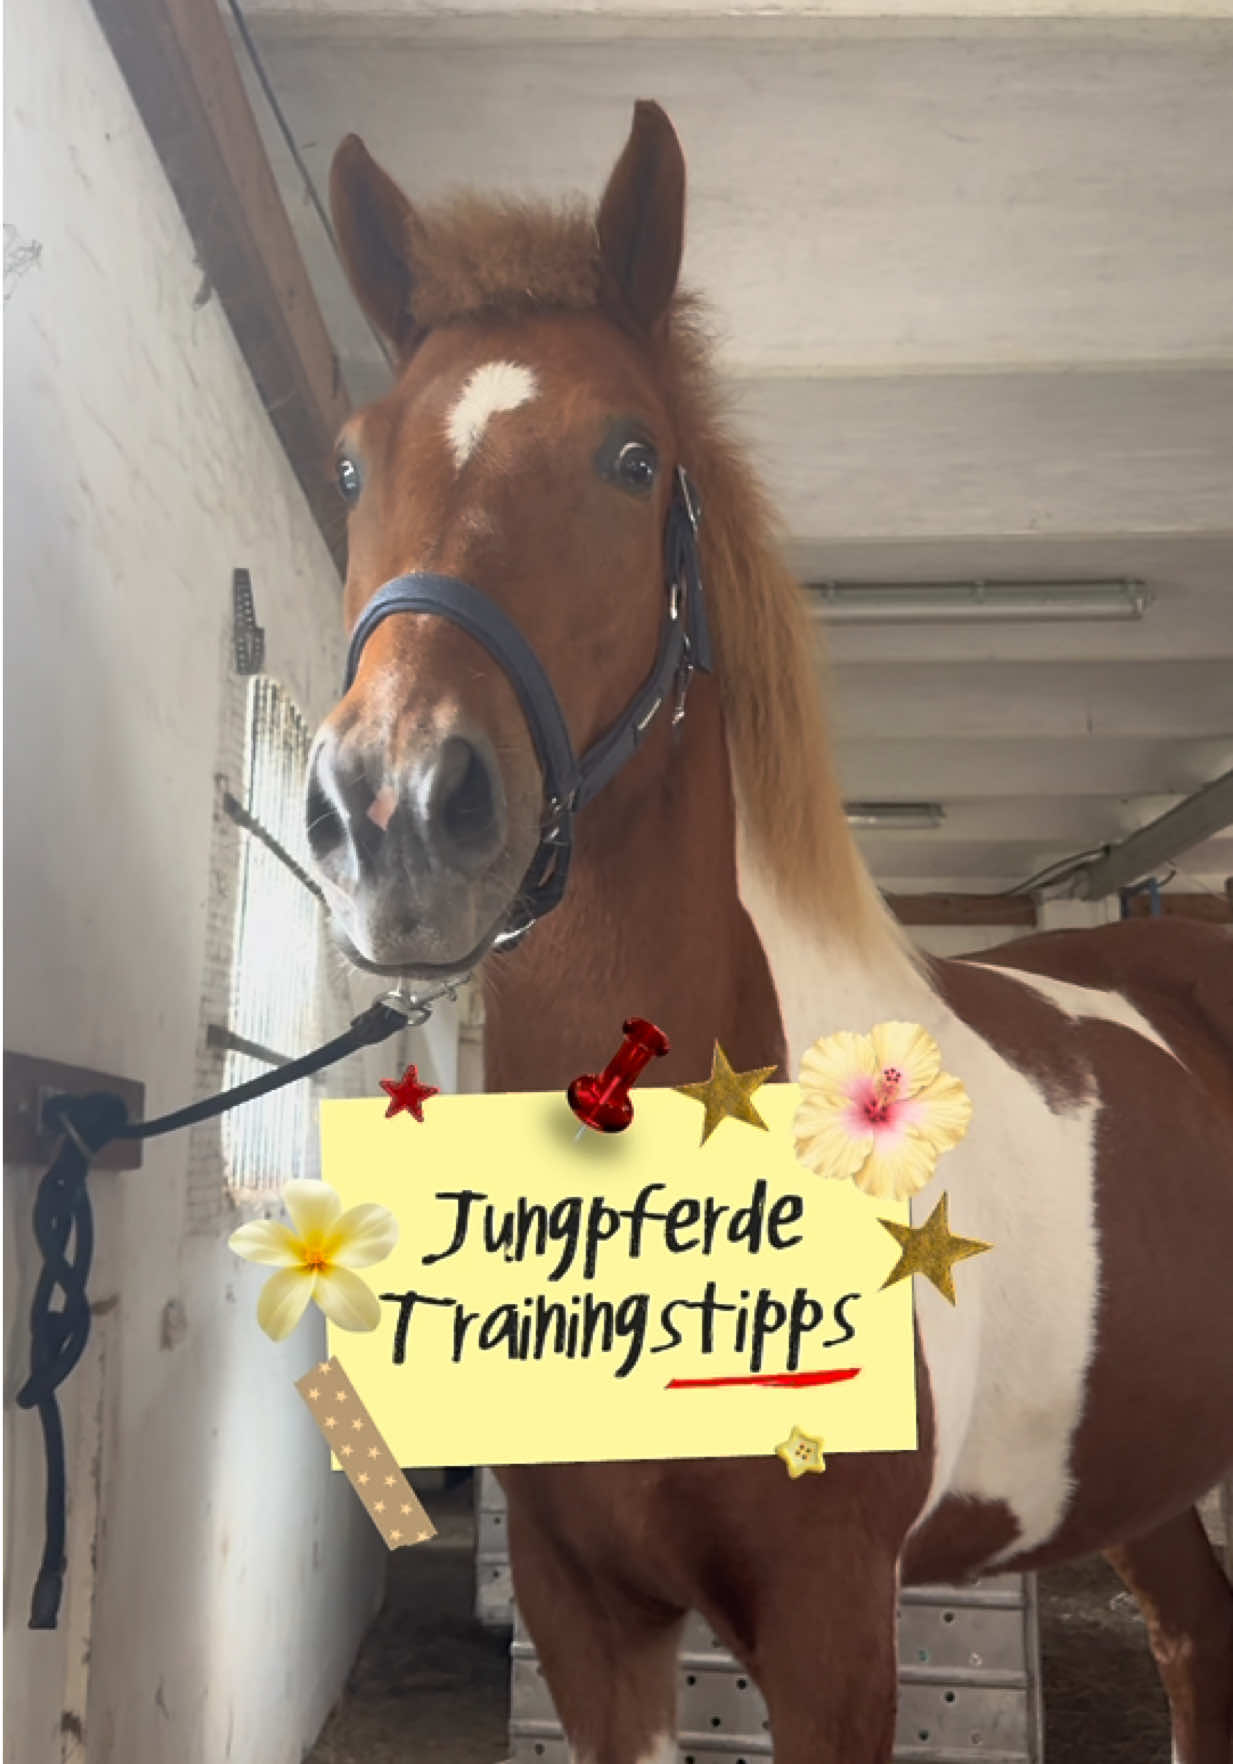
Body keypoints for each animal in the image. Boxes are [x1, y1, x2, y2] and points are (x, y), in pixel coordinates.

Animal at [306, 101, 1233, 1764]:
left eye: (631, 458)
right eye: (351, 465)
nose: (393, 808)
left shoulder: (830, 1631)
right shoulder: (586, 1618)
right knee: (1198, 1641)